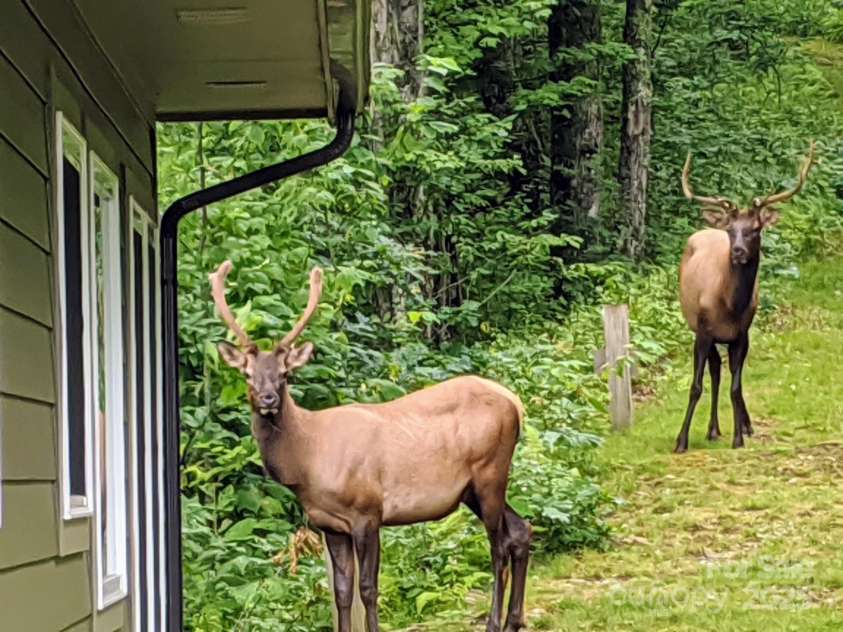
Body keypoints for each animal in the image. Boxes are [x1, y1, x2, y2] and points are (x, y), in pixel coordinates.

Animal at [209, 260, 532, 632]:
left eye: (284, 374)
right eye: (247, 374)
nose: (268, 399)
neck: (307, 460)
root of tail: (515, 403)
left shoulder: (367, 511)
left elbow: (368, 588)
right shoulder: (329, 524)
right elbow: (341, 591)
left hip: (490, 470)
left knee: (499, 548)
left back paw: (494, 622)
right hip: (471, 490)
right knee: (520, 530)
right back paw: (514, 620)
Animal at [674, 142, 816, 453]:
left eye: (755, 229)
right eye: (731, 230)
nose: (738, 251)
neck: (729, 304)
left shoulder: (741, 333)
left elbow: (736, 387)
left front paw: (739, 436)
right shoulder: (703, 329)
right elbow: (696, 386)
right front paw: (681, 441)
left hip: (740, 336)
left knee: (724, 374)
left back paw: (735, 426)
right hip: (698, 327)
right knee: (715, 371)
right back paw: (713, 428)